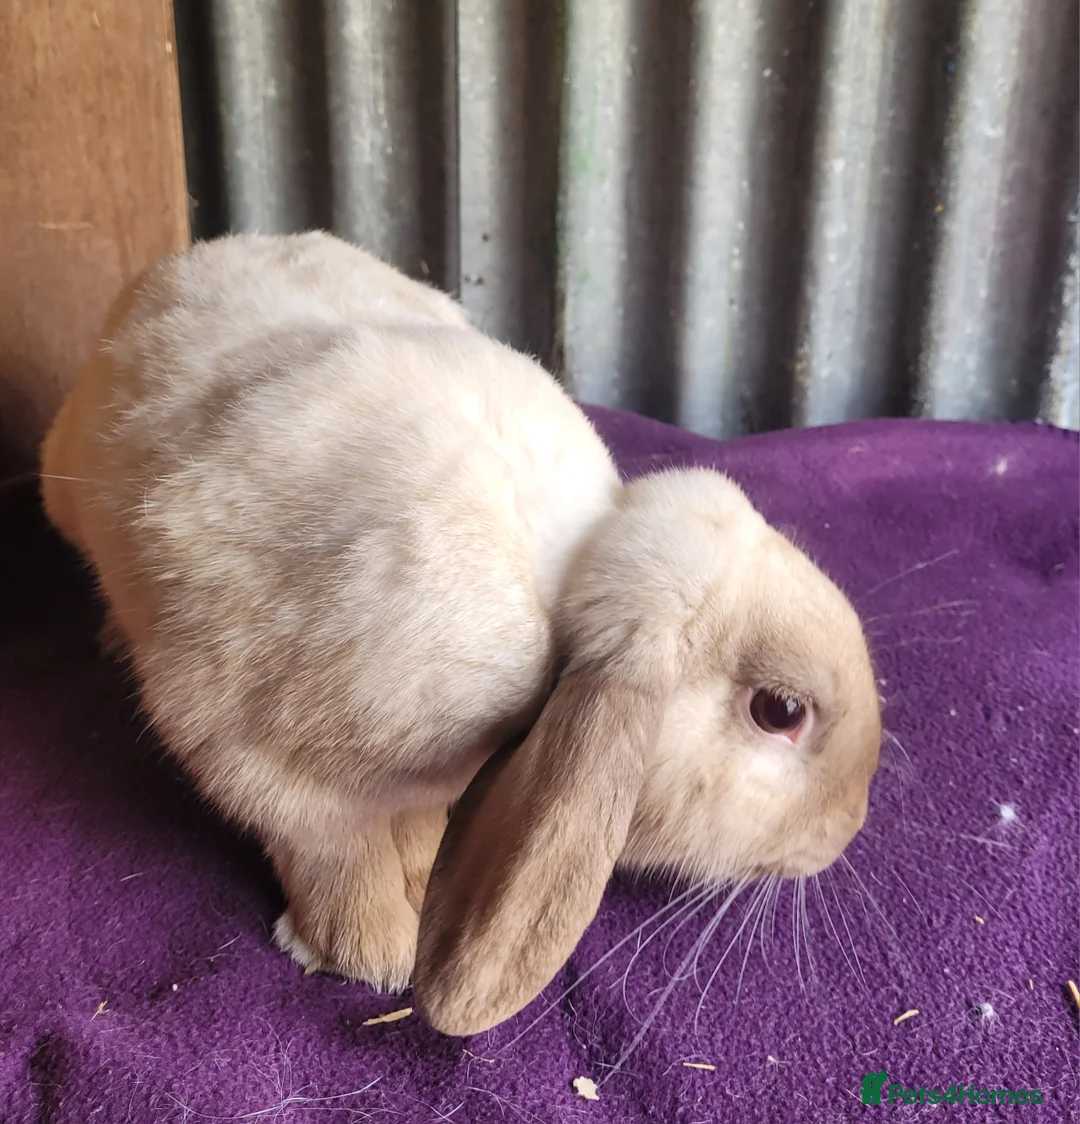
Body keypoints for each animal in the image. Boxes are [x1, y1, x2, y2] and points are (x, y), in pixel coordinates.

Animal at [40, 230, 881, 1038]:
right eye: (779, 711)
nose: (846, 831)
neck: (570, 571)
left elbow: (420, 821)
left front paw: (422, 879)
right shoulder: (255, 753)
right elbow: (332, 854)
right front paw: (368, 950)